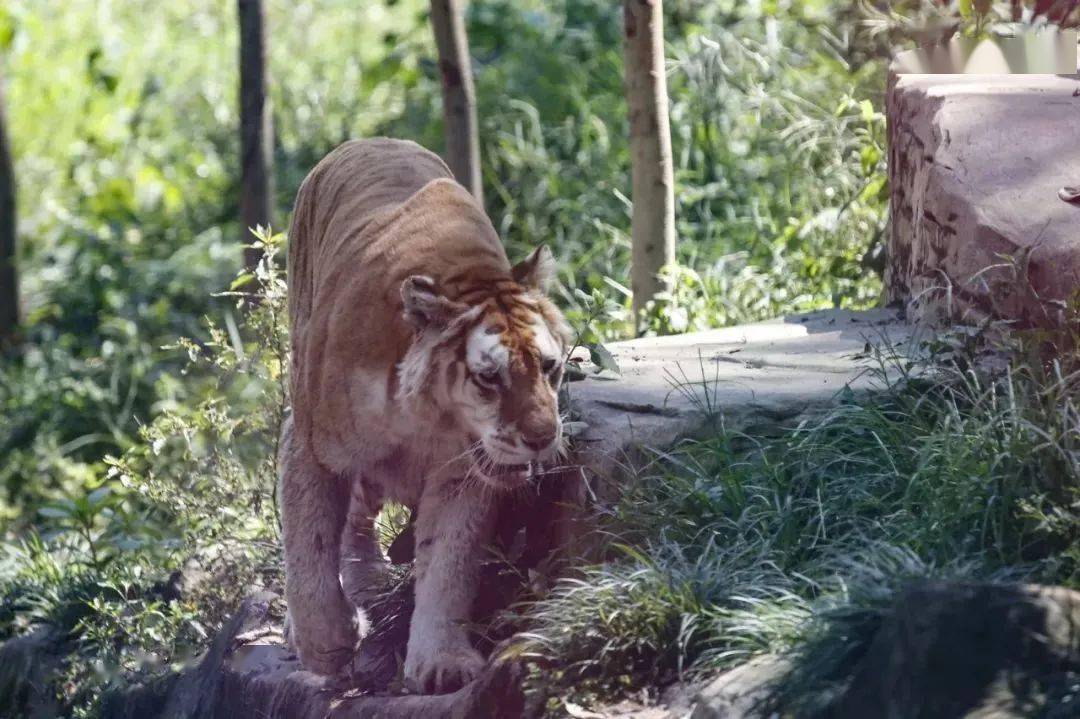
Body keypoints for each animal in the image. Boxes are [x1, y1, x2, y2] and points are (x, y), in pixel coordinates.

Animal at [278, 137, 570, 690]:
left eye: (550, 367)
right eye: (489, 378)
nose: (543, 437)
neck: (428, 419)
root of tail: (371, 139)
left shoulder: (463, 476)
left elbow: (447, 564)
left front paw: (441, 662)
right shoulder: (310, 445)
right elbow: (309, 544)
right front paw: (326, 644)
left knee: (360, 517)